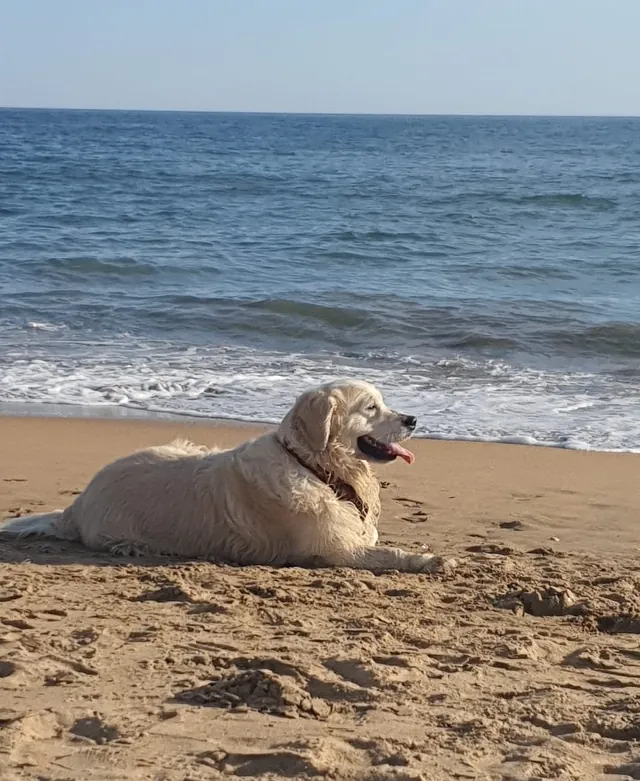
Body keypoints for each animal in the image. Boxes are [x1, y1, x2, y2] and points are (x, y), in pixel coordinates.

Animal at [2, 380, 458, 572]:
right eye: (370, 407)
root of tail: (77, 504)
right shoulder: (336, 551)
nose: (413, 420)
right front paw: (433, 559)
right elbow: (389, 554)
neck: (313, 466)